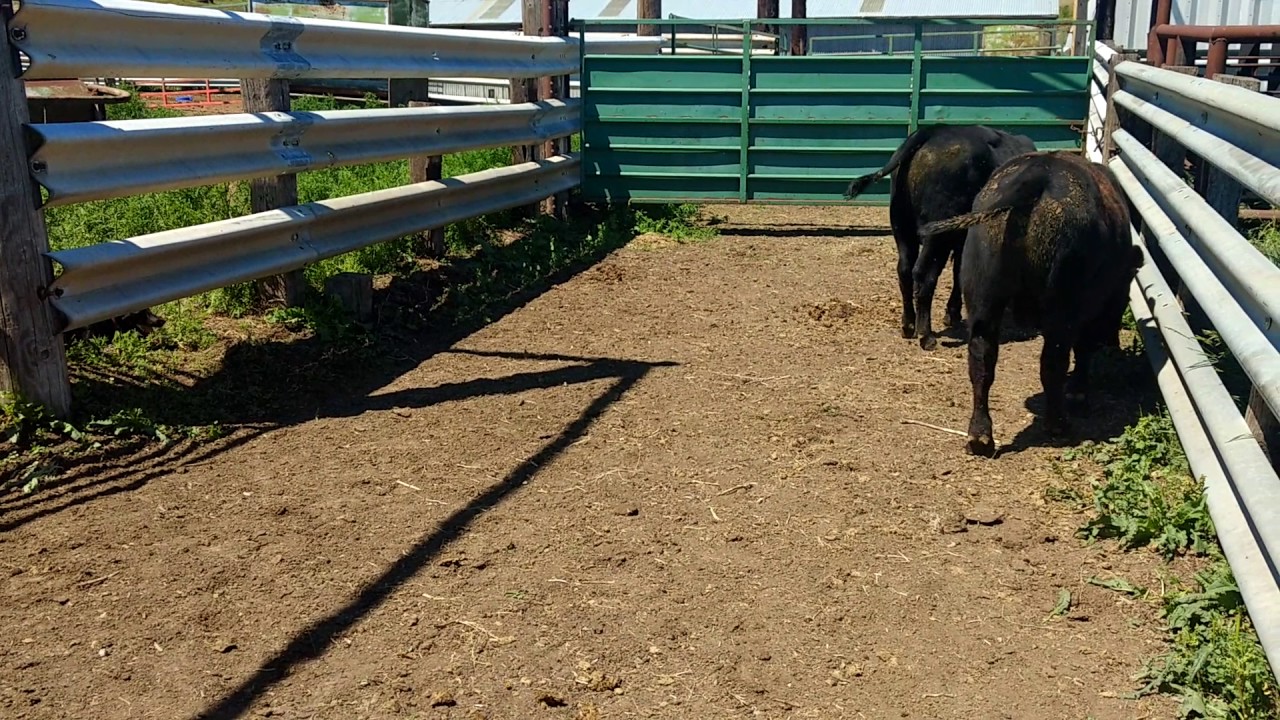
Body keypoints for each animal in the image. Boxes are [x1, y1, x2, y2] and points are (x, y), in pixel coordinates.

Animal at [844, 125, 1037, 351]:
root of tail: (933, 131)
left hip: (904, 231)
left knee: (905, 270)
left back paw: (908, 326)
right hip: (937, 238)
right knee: (924, 275)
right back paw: (926, 335)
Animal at [918, 150, 1142, 457]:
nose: (1113, 341)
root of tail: (1039, 173)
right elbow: (1083, 351)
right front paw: (1079, 393)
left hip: (983, 301)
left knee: (981, 359)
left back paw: (980, 436)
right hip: (1062, 308)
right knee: (1053, 362)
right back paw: (1057, 423)